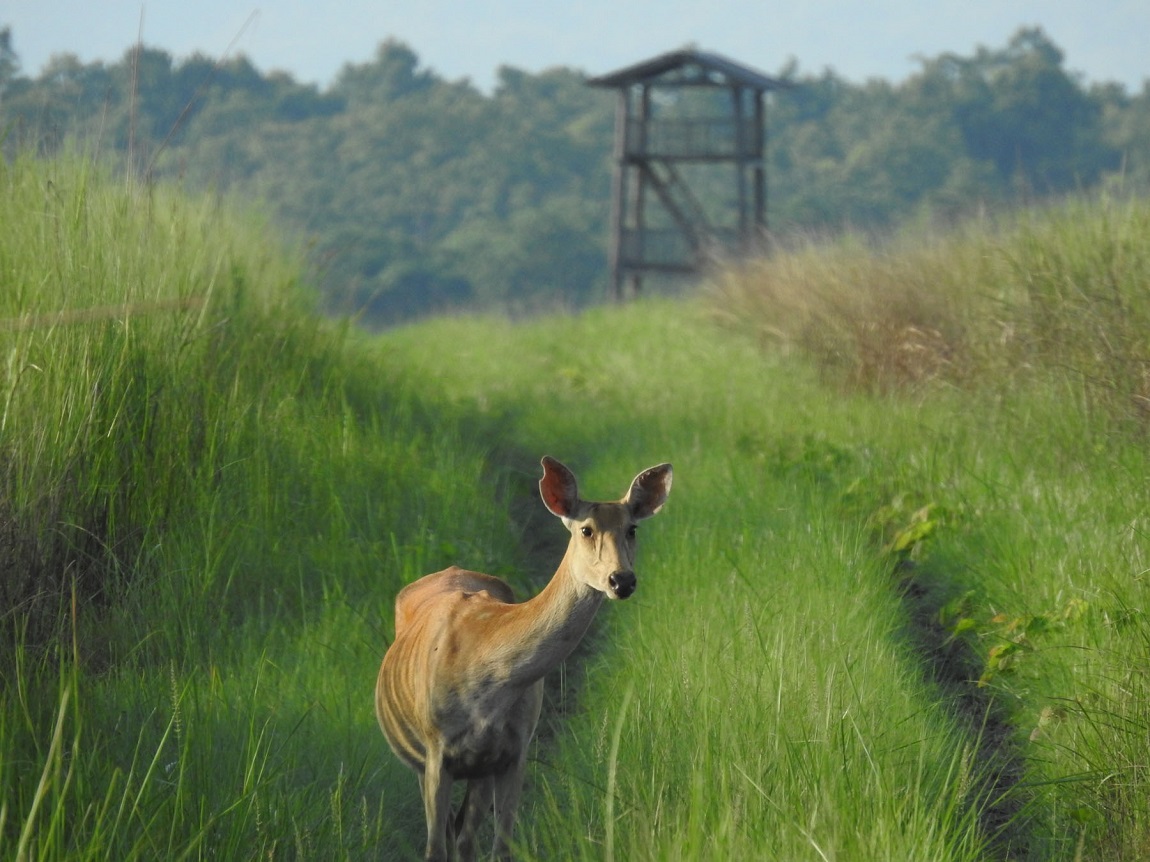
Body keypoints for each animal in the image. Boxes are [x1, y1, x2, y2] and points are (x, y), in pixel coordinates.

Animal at [377, 455, 671, 859]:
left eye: (632, 528)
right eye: (586, 530)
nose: (621, 580)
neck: (488, 679)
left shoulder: (513, 751)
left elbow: (501, 846)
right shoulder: (437, 749)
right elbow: (434, 849)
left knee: (464, 837)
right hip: (420, 757)